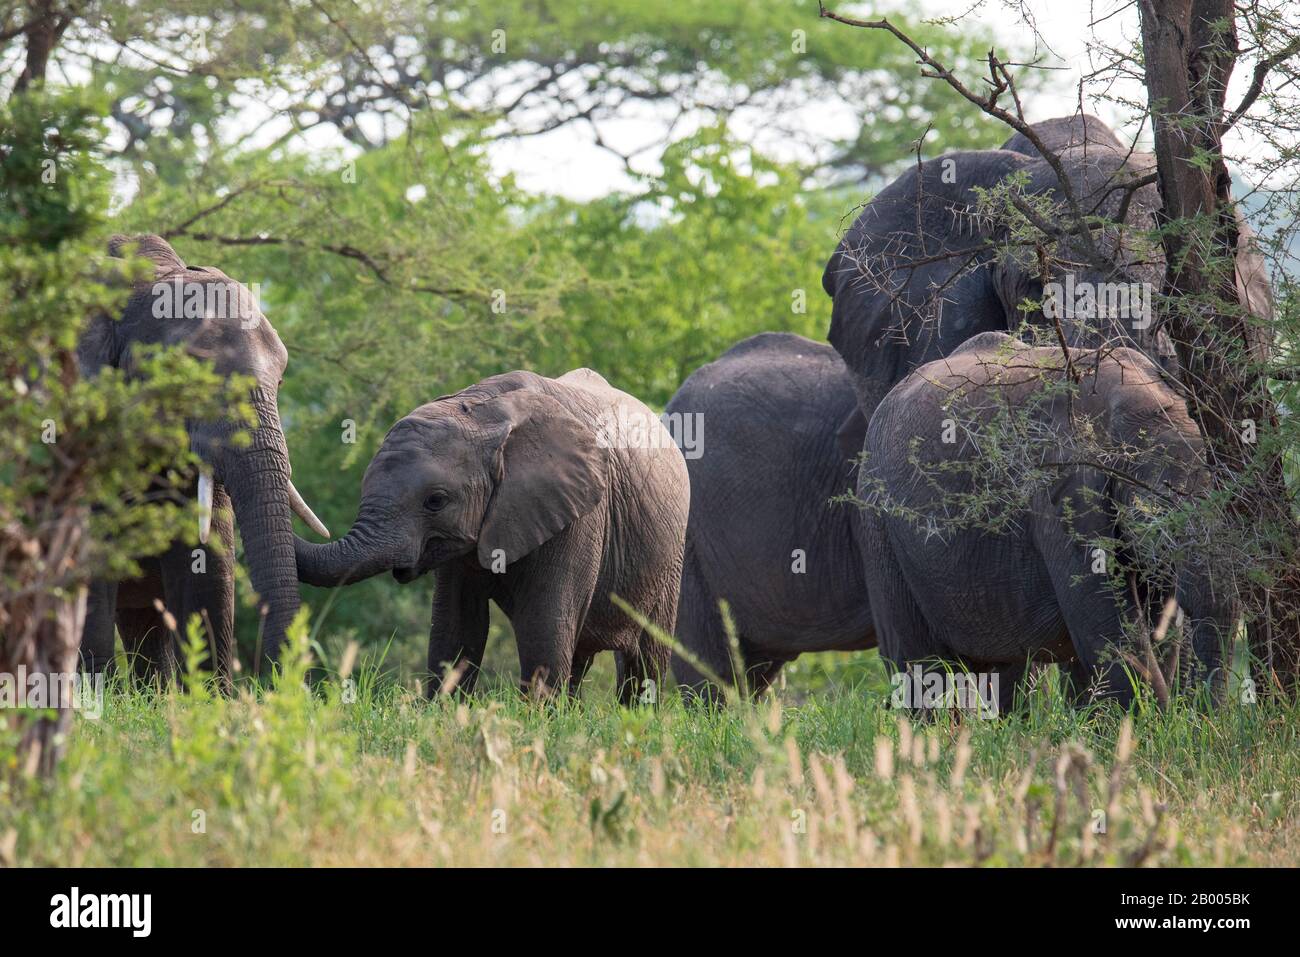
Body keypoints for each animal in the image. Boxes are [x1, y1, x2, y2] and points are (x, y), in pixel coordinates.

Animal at [296, 369, 691, 696]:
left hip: (670, 555)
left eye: (436, 501)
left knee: (646, 657)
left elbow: (544, 627)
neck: (484, 411)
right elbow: (456, 628)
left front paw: (538, 723)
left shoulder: (581, 513)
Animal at [863, 330, 1237, 712]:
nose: (1206, 716)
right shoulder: (1064, 497)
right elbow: (1110, 632)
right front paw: (1153, 721)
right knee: (921, 667)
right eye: (1156, 514)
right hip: (881, 527)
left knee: (1008, 668)